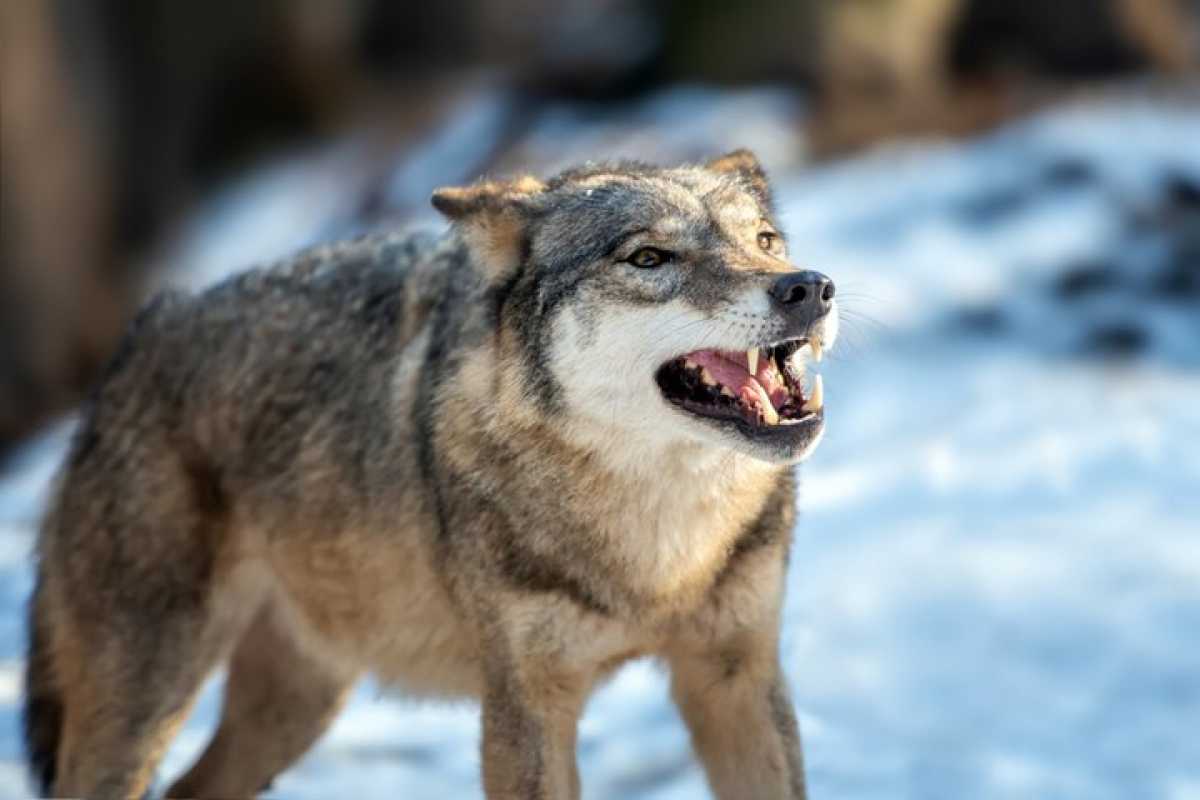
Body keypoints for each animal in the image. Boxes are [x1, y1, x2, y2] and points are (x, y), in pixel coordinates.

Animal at [23, 149, 840, 800]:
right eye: (649, 258)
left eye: (765, 241)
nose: (809, 286)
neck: (659, 553)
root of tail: (138, 337)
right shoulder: (524, 706)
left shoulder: (737, 678)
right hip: (146, 703)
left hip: (296, 704)